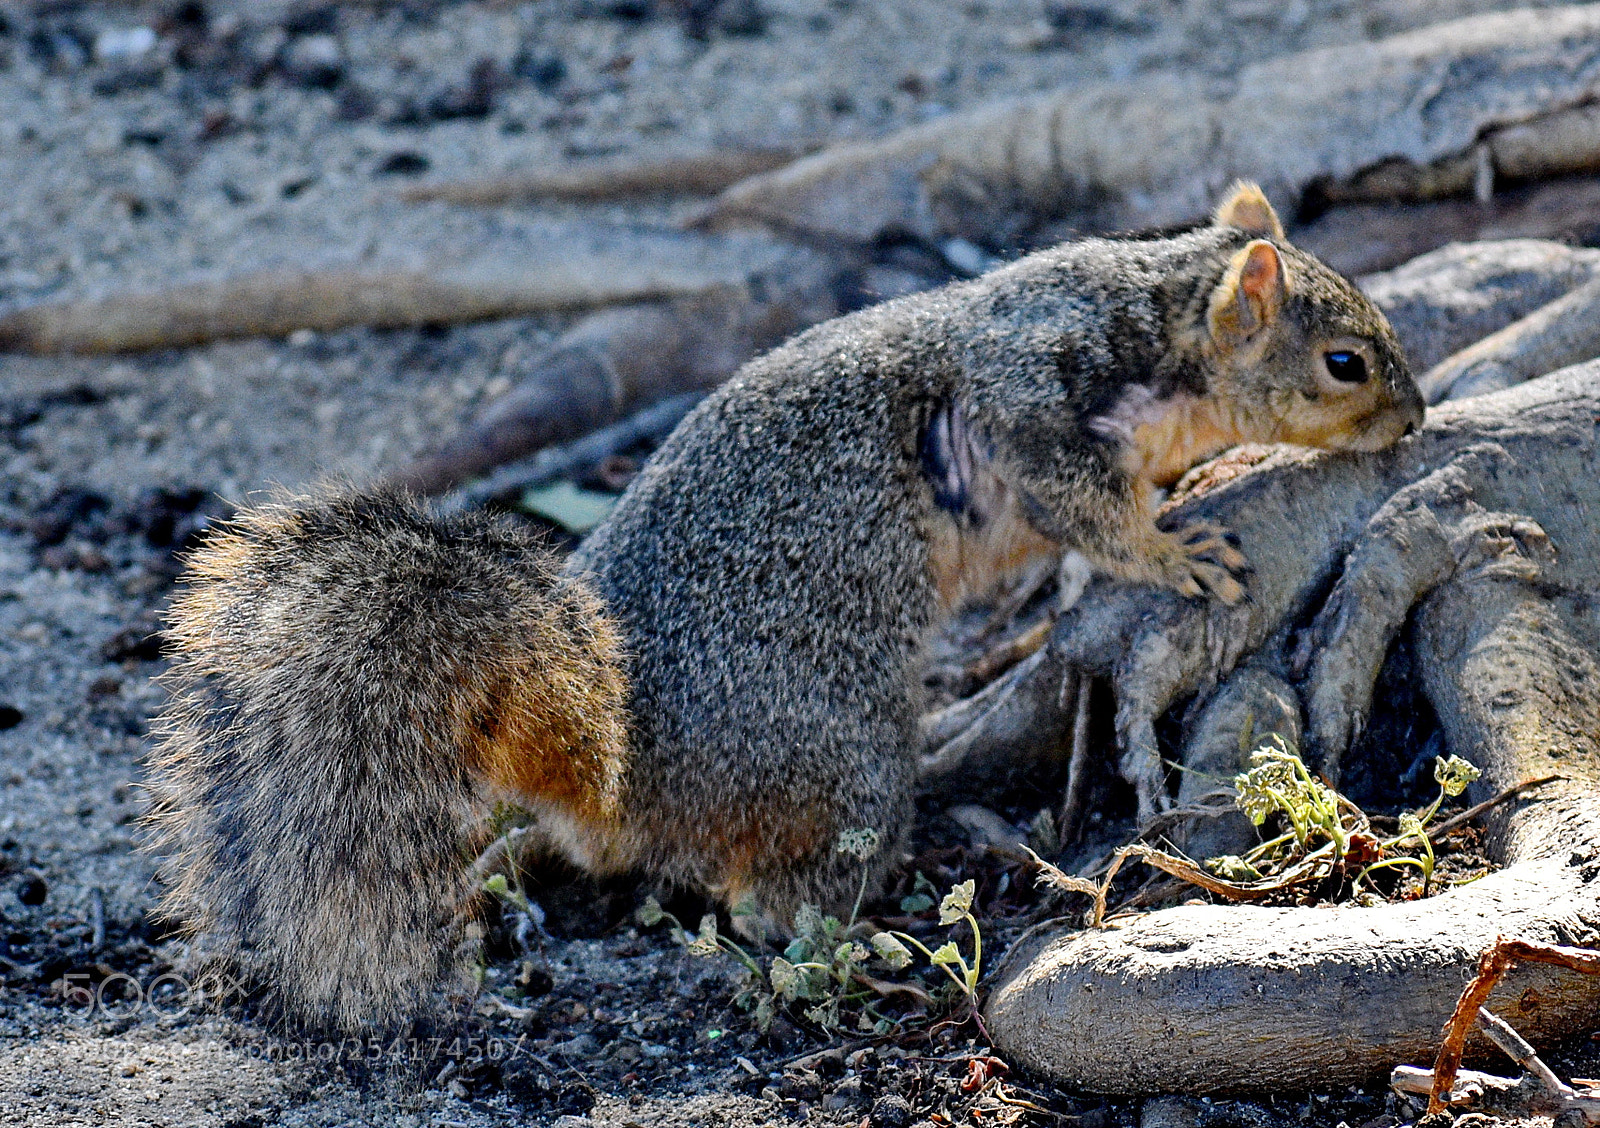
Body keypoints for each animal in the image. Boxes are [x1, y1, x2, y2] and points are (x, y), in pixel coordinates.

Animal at [146, 183, 1424, 1032]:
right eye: (1346, 363)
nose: (1413, 422)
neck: (1152, 319)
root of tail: (616, 771)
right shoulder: (1030, 408)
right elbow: (1089, 512)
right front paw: (1172, 549)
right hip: (838, 760)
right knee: (768, 905)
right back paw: (871, 932)